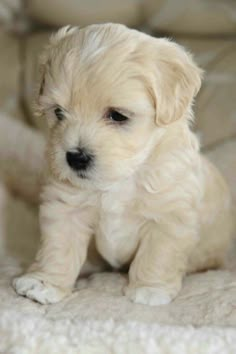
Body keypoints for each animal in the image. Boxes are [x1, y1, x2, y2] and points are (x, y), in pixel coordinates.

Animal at [12, 23, 232, 306]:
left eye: (117, 116)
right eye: (58, 112)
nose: (75, 157)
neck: (124, 176)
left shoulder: (170, 216)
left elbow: (157, 254)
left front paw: (150, 289)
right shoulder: (66, 207)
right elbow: (58, 246)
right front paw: (43, 283)